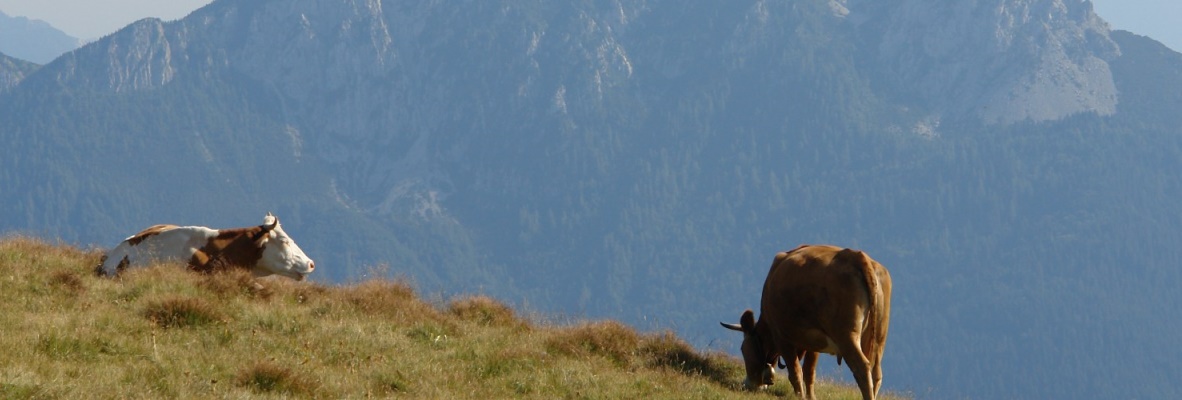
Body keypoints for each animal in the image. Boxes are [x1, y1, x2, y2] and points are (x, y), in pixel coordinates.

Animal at [718, 244, 893, 397]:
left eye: (743, 349)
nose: (747, 384)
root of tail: (858, 257)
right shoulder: (814, 342)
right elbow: (809, 372)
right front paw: (810, 396)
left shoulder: (781, 336)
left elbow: (795, 371)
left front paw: (799, 396)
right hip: (879, 337)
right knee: (876, 373)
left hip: (846, 335)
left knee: (862, 368)